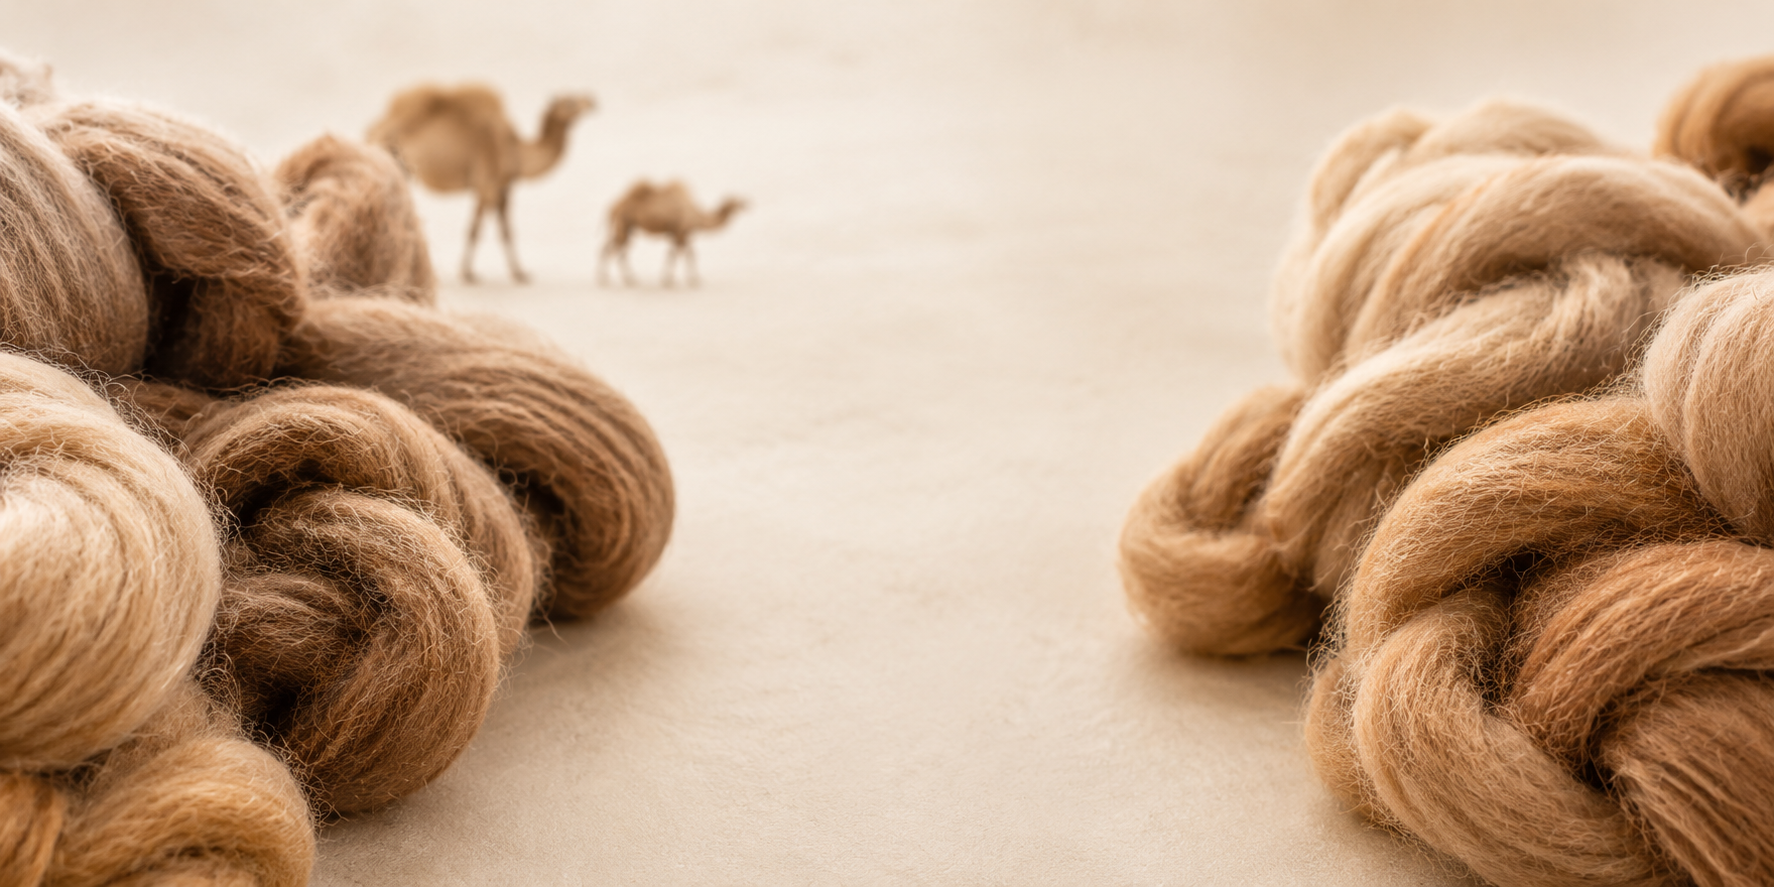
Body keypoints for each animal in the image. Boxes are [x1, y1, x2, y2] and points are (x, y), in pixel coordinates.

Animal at [367, 83, 595, 283]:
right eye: (570, 102)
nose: (593, 101)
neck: (517, 151)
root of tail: (374, 129)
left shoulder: (501, 188)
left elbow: (505, 230)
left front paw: (519, 273)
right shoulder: (487, 185)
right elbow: (477, 230)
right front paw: (469, 274)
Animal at [598, 180, 746, 287]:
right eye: (736, 202)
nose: (747, 203)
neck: (697, 215)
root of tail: (613, 207)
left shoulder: (681, 234)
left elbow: (683, 254)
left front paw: (687, 279)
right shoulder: (680, 233)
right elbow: (680, 255)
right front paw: (674, 280)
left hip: (625, 228)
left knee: (611, 249)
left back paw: (622, 279)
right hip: (623, 224)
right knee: (616, 251)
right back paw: (609, 280)